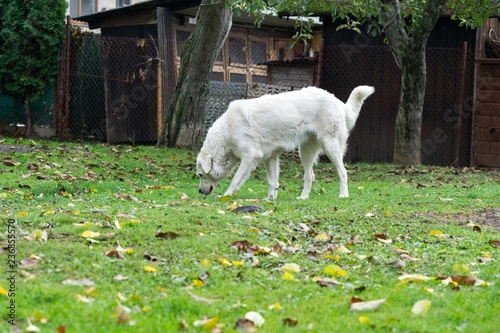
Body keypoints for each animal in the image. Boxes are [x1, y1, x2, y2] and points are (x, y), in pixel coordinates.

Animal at [197, 86, 374, 200]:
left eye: (199, 175)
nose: (199, 191)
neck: (227, 131)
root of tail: (338, 102)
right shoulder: (270, 157)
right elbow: (272, 181)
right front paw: (270, 199)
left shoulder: (250, 157)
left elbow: (235, 180)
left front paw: (226, 196)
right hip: (305, 152)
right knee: (309, 176)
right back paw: (303, 197)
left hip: (330, 147)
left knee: (343, 172)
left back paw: (343, 195)